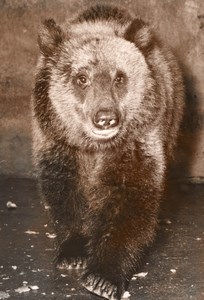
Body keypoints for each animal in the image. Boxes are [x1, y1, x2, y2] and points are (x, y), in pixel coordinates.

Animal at [31, 4, 185, 300]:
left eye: (119, 77)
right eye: (82, 78)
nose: (105, 118)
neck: (94, 146)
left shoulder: (135, 142)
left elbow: (129, 199)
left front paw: (103, 277)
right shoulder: (60, 143)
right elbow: (65, 192)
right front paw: (73, 252)